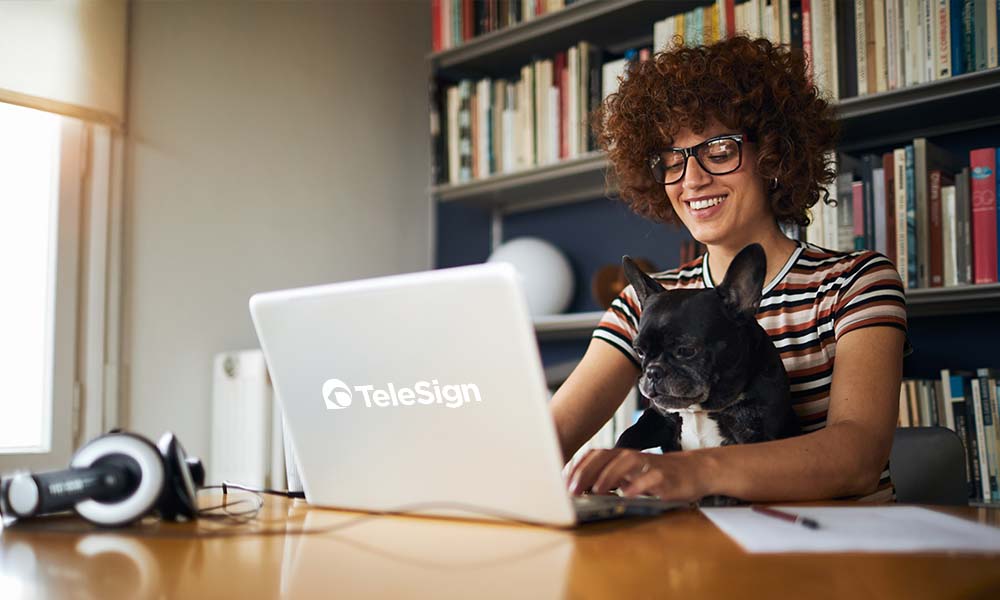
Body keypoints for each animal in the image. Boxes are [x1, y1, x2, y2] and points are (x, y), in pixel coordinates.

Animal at [612, 241, 800, 452]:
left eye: (686, 350)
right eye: (640, 352)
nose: (653, 372)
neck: (698, 409)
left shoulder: (758, 433)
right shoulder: (657, 418)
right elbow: (627, 436)